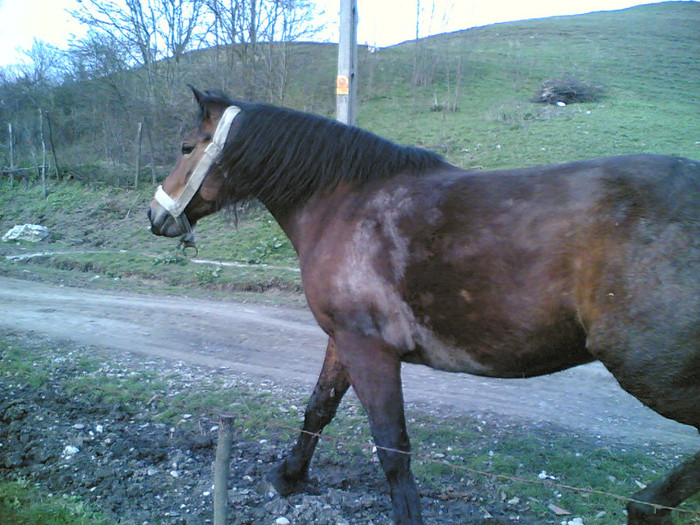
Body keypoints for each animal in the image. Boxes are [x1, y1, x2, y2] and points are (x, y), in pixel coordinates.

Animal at [148, 88, 699, 525]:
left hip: (656, 373)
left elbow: (392, 447)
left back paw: (646, 507)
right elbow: (319, 408)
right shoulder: (344, 341)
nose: (155, 215)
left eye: (185, 147)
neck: (342, 203)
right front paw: (289, 476)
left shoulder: (368, 351)